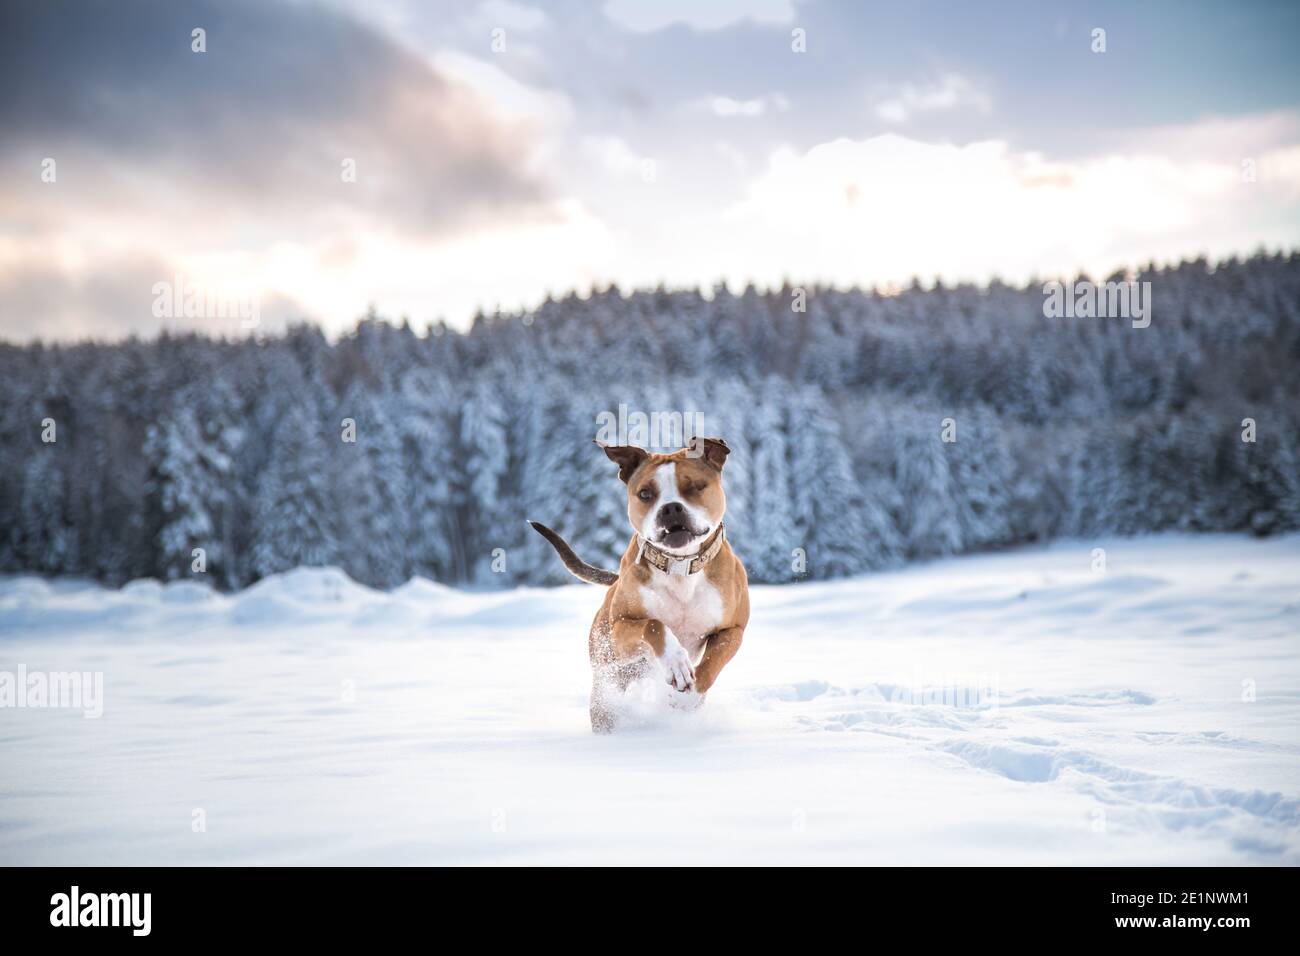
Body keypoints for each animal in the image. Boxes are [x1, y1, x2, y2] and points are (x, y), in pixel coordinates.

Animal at [530, 439, 754, 733]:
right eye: (645, 494)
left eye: (695, 486)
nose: (671, 508)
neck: (679, 567)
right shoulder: (619, 632)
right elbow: (654, 625)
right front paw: (676, 663)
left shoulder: (732, 630)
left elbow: (713, 662)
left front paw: (688, 696)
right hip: (609, 675)